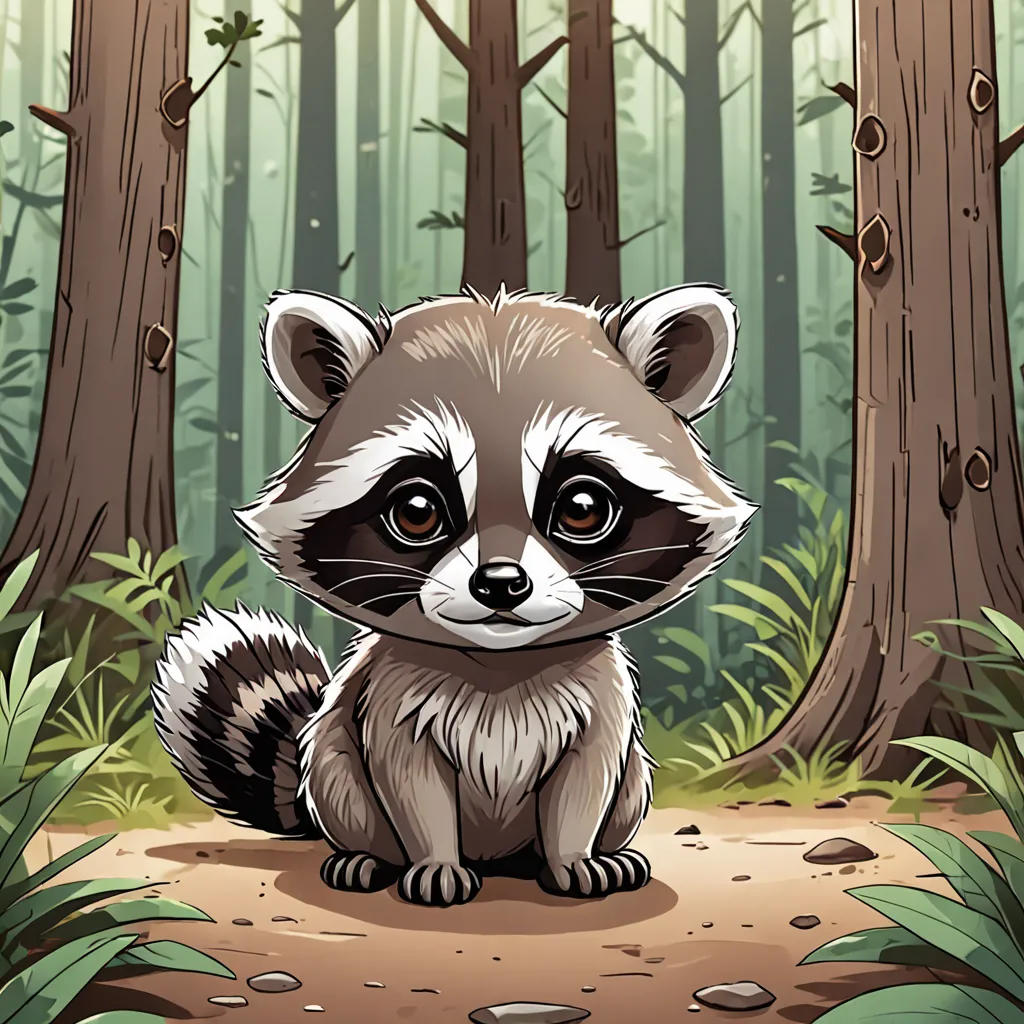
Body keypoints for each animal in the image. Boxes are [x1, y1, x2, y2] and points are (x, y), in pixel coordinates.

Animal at [153, 284, 756, 906]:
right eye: (417, 511)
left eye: (581, 507)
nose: (501, 583)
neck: (500, 663)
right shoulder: (390, 697)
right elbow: (411, 784)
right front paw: (435, 860)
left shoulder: (603, 698)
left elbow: (585, 782)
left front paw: (573, 856)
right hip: (331, 760)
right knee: (338, 773)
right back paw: (366, 856)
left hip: (630, 782)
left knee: (627, 781)